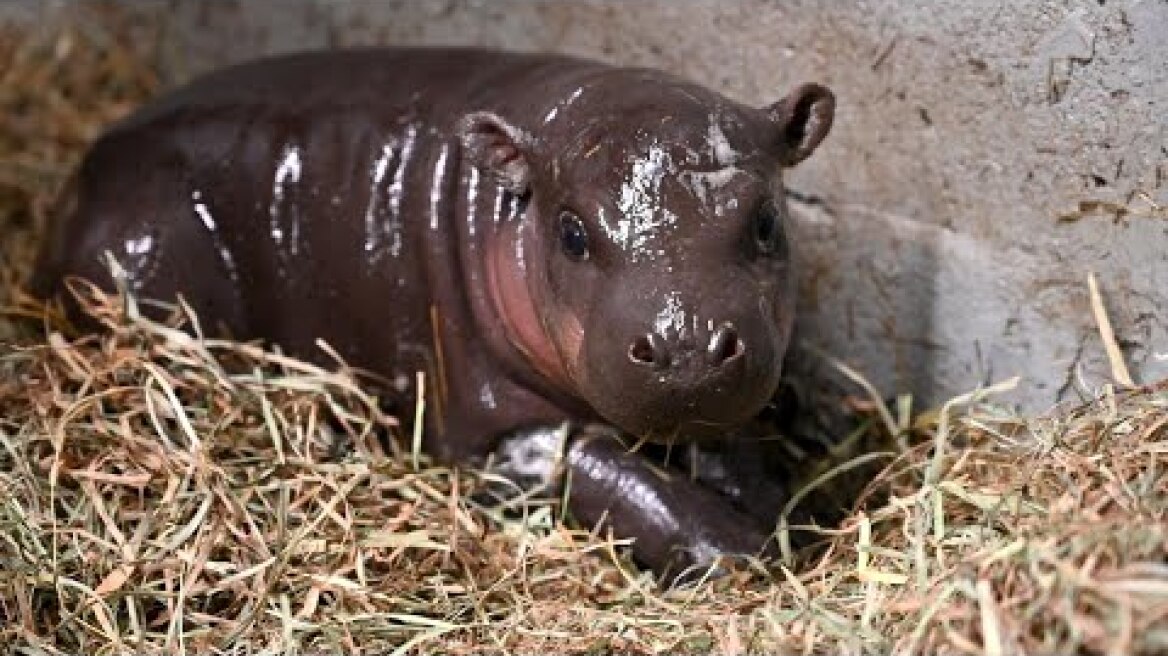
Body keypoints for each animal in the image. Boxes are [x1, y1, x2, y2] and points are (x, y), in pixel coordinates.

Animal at [29, 47, 835, 583]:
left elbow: (718, 436)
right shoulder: (490, 422)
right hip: (146, 245)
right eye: (572, 232)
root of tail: (81, 171)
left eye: (766, 219)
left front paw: (780, 499)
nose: (686, 343)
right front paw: (735, 549)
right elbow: (600, 465)